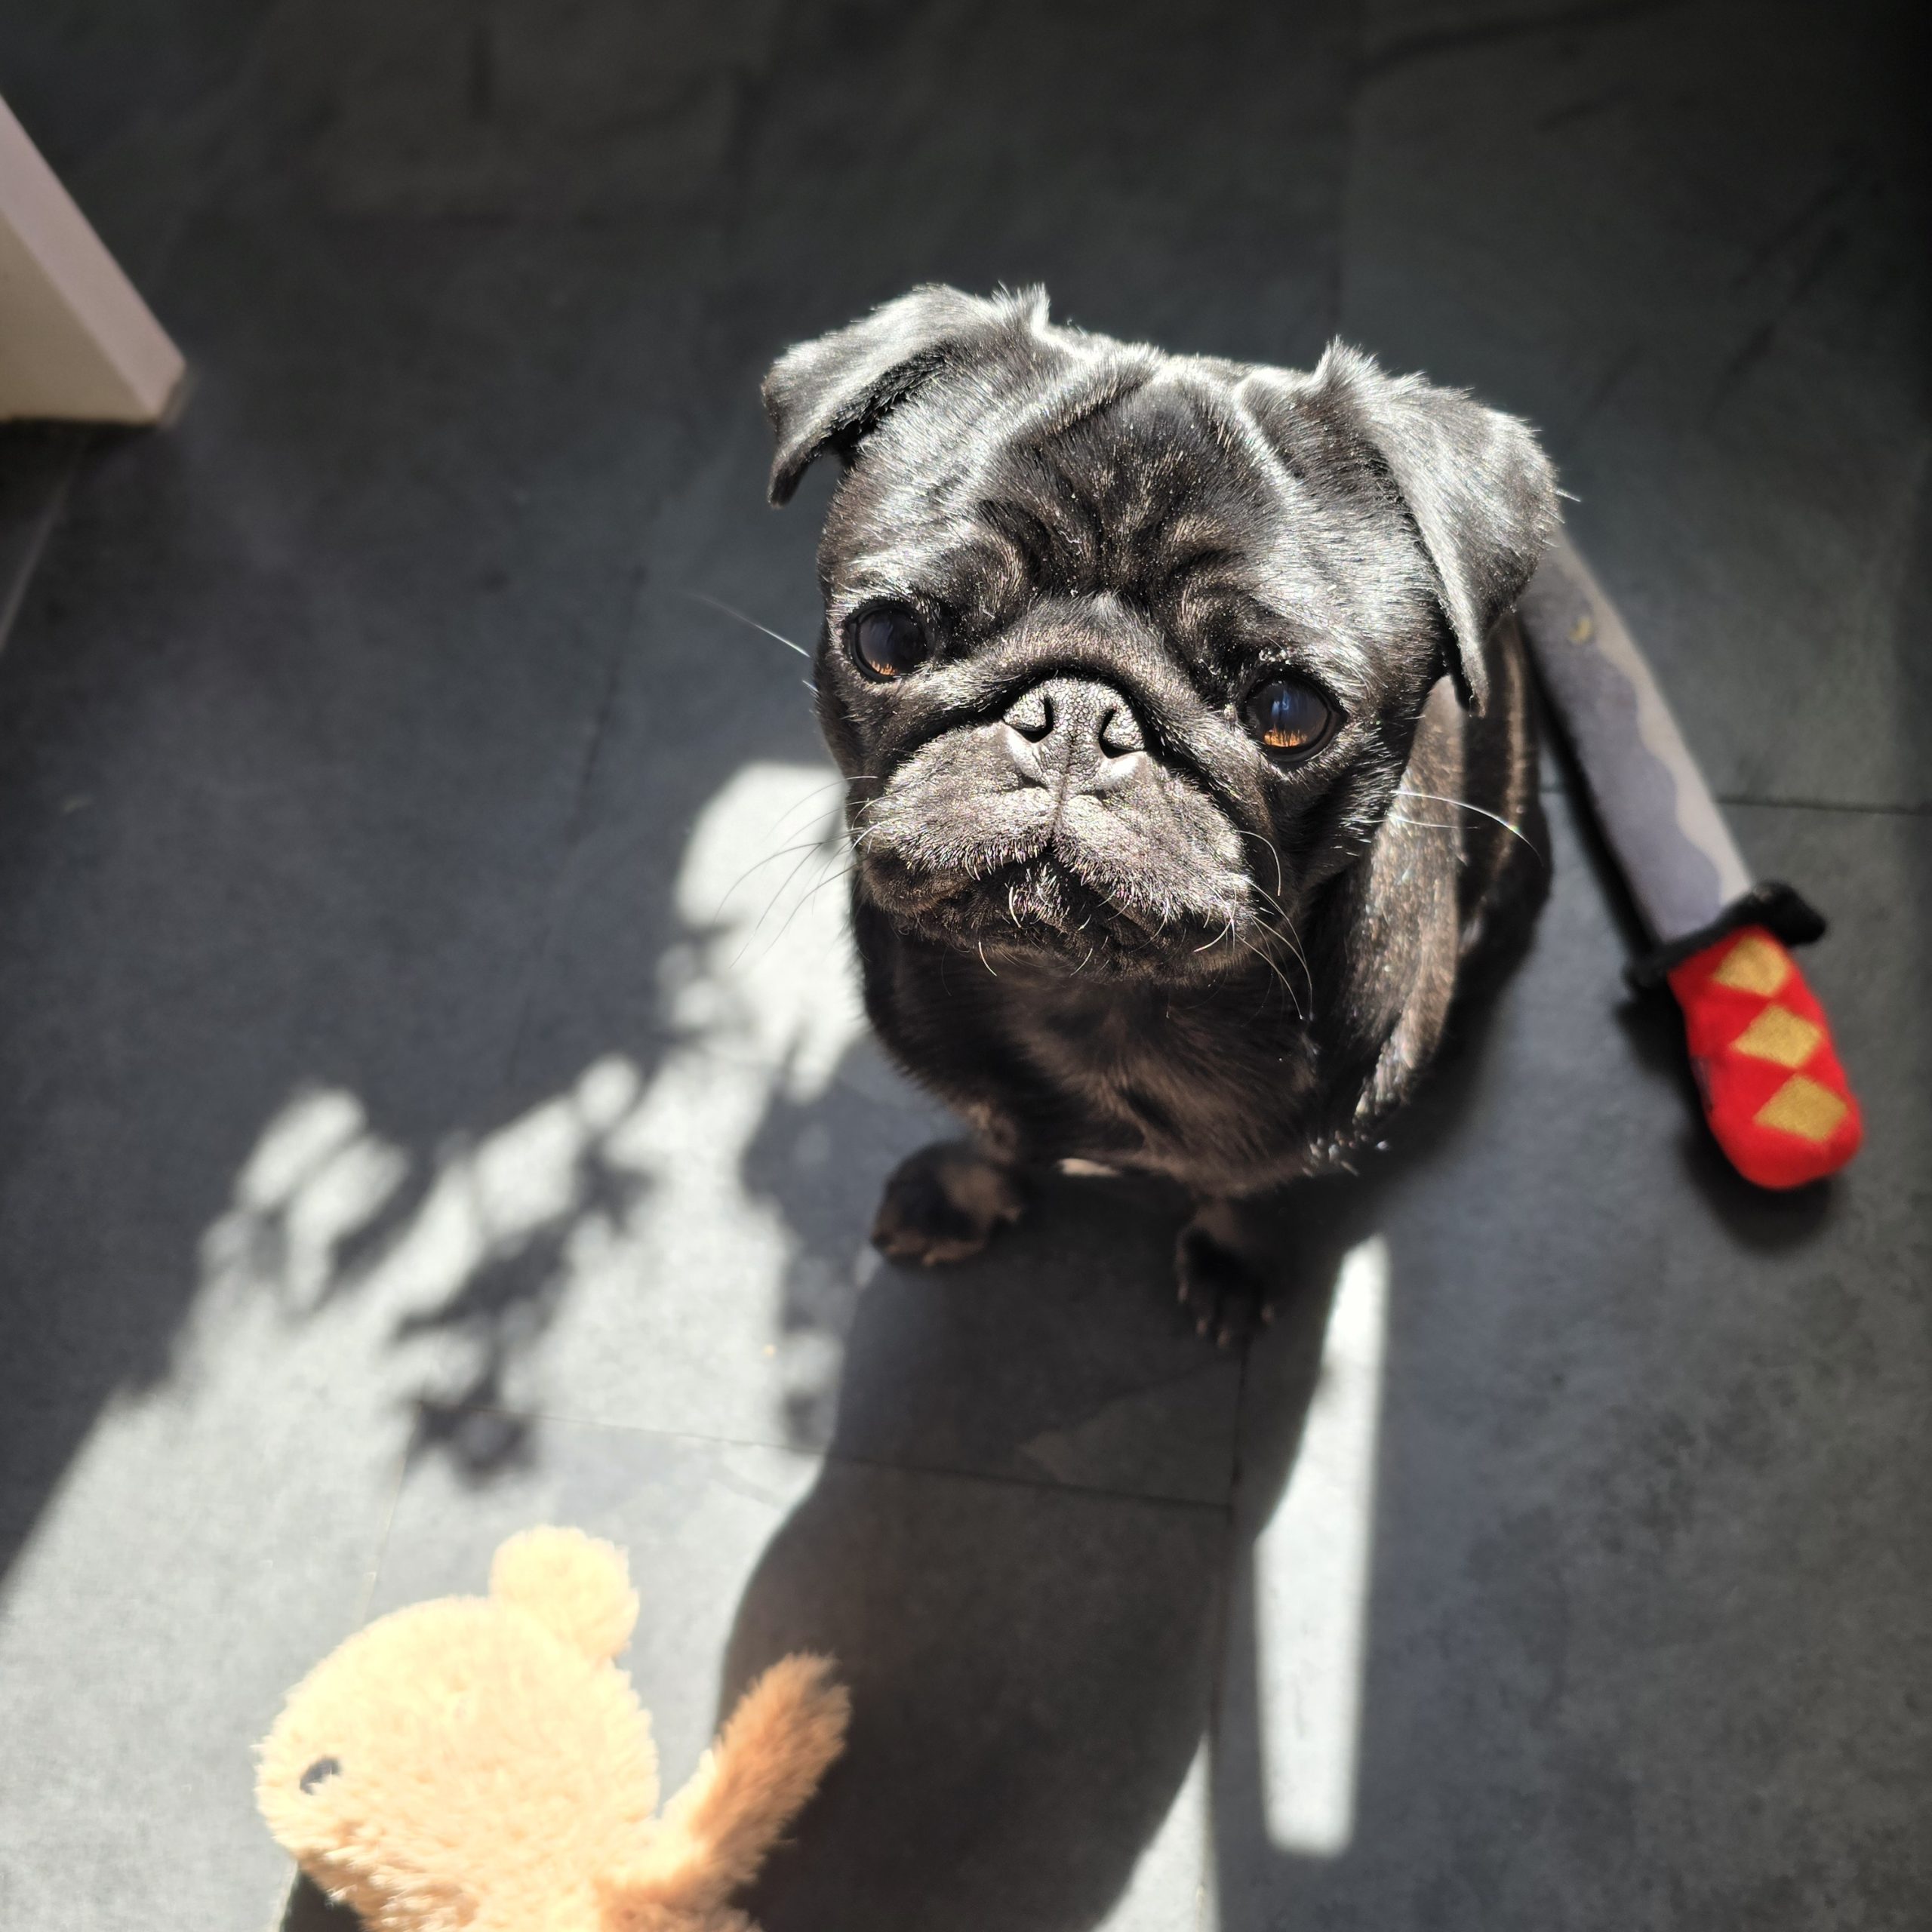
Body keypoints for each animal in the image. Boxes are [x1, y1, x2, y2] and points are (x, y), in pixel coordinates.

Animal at [761, 286, 1557, 1336]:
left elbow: (1255, 1183)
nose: (1075, 714)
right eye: (886, 638)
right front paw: (967, 1189)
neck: (1095, 999)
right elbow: (994, 1129)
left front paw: (1233, 1250)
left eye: (1289, 712)